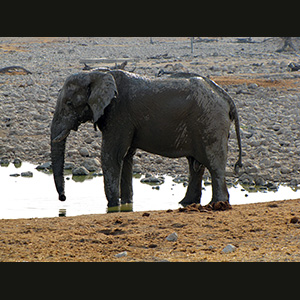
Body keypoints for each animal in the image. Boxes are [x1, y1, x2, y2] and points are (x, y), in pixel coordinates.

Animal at [50, 69, 243, 207]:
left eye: (69, 103)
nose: (63, 198)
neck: (98, 74)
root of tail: (225, 96)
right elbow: (126, 157)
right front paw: (126, 204)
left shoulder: (119, 114)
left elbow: (111, 156)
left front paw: (112, 206)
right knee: (195, 165)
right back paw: (186, 203)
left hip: (211, 121)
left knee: (214, 164)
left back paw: (217, 204)